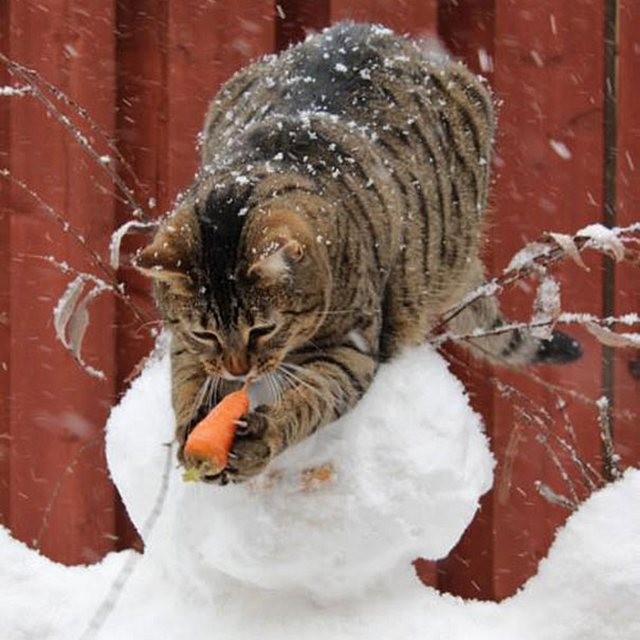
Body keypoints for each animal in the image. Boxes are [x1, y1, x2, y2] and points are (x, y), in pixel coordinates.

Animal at [135, 23, 580, 484]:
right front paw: (193, 425)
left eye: (263, 329)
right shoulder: (186, 343)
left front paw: (264, 433)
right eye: (205, 333)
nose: (238, 371)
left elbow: (310, 398)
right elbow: (186, 380)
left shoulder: (353, 349)